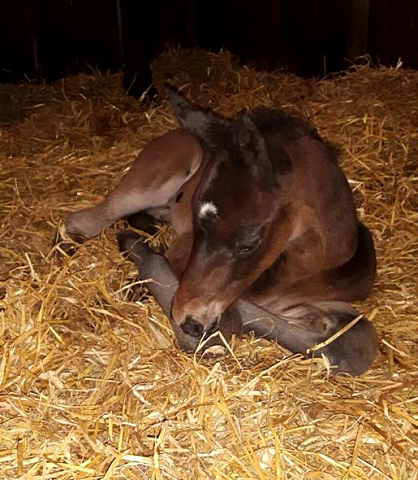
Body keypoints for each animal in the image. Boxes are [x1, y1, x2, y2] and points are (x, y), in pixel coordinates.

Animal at [62, 89, 378, 376]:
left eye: (248, 244)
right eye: (195, 214)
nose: (188, 320)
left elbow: (356, 344)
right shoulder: (185, 258)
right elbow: (221, 328)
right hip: (148, 184)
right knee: (84, 221)